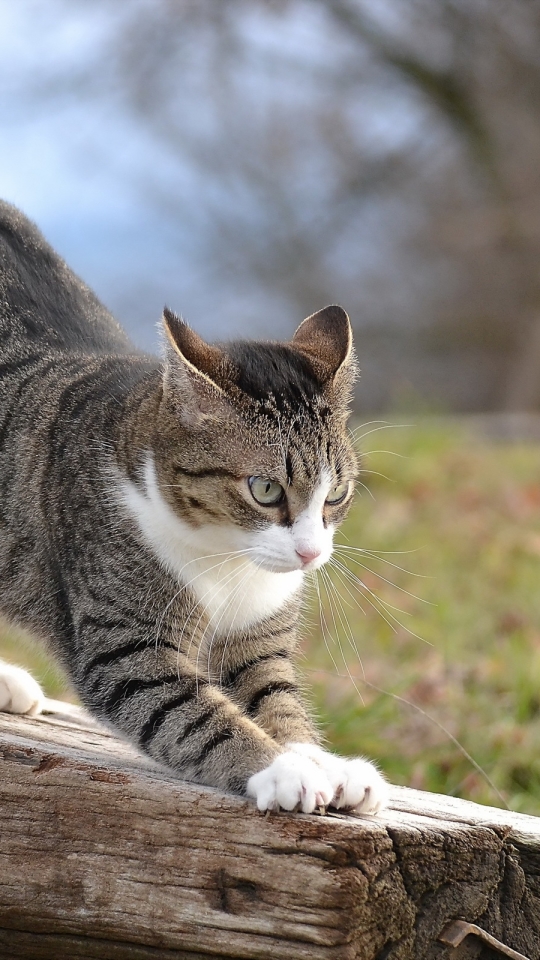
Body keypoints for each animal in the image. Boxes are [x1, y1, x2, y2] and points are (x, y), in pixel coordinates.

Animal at [0, 199, 388, 812]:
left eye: (336, 493)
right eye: (265, 490)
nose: (309, 555)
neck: (227, 559)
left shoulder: (257, 644)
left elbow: (278, 700)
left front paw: (324, 762)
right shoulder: (127, 647)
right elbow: (197, 717)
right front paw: (282, 768)